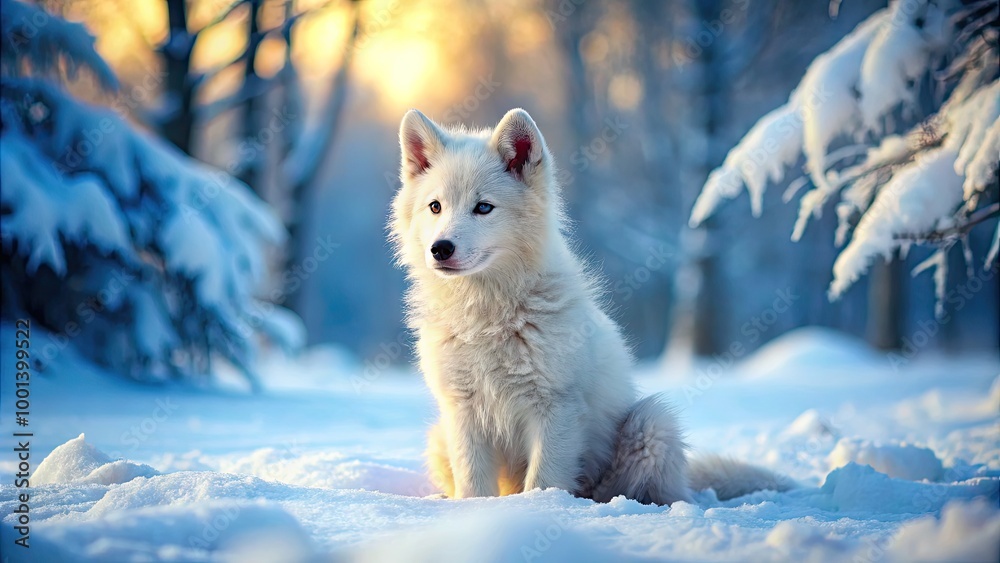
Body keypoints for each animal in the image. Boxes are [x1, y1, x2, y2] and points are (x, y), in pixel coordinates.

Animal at [390, 107, 792, 504]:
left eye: (483, 207)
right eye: (435, 207)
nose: (440, 249)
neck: (488, 316)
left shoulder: (556, 409)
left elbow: (543, 480)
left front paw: (537, 511)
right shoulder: (463, 412)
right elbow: (473, 486)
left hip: (651, 423)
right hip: (438, 435)